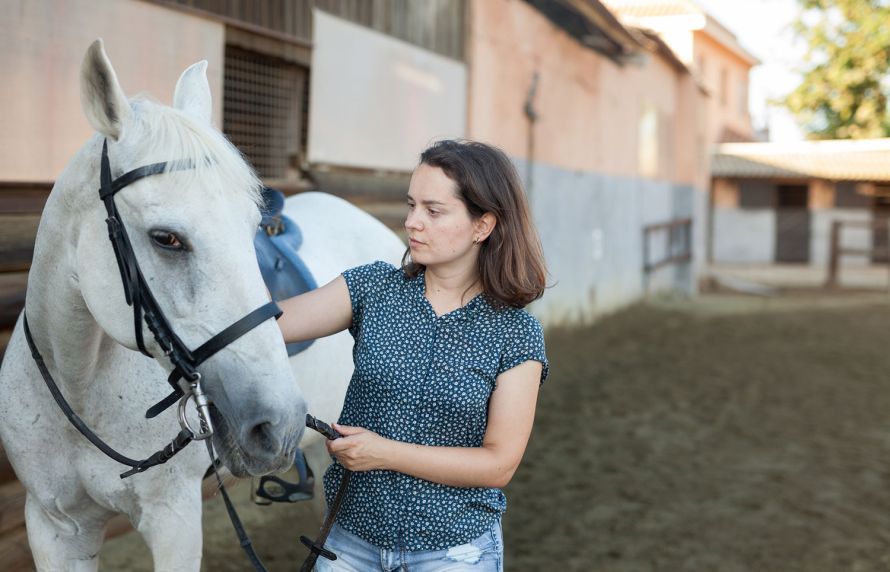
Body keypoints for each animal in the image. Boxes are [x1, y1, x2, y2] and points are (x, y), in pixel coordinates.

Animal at [0, 41, 402, 572]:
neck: (79, 387)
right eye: (166, 238)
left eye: (253, 225)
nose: (279, 424)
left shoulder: (174, 520)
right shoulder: (55, 527)